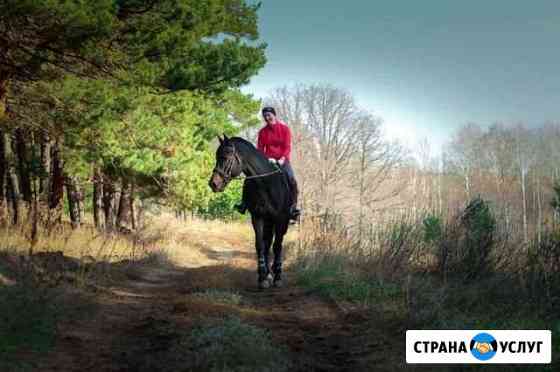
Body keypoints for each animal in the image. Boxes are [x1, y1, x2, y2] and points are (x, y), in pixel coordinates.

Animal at [208, 135, 290, 290]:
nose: (213, 184)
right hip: (268, 221)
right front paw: (262, 277)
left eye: (226, 157)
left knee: (276, 244)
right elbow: (260, 245)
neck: (264, 183)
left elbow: (277, 245)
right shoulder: (257, 217)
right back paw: (268, 274)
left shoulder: (280, 219)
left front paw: (277, 277)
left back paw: (276, 272)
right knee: (267, 243)